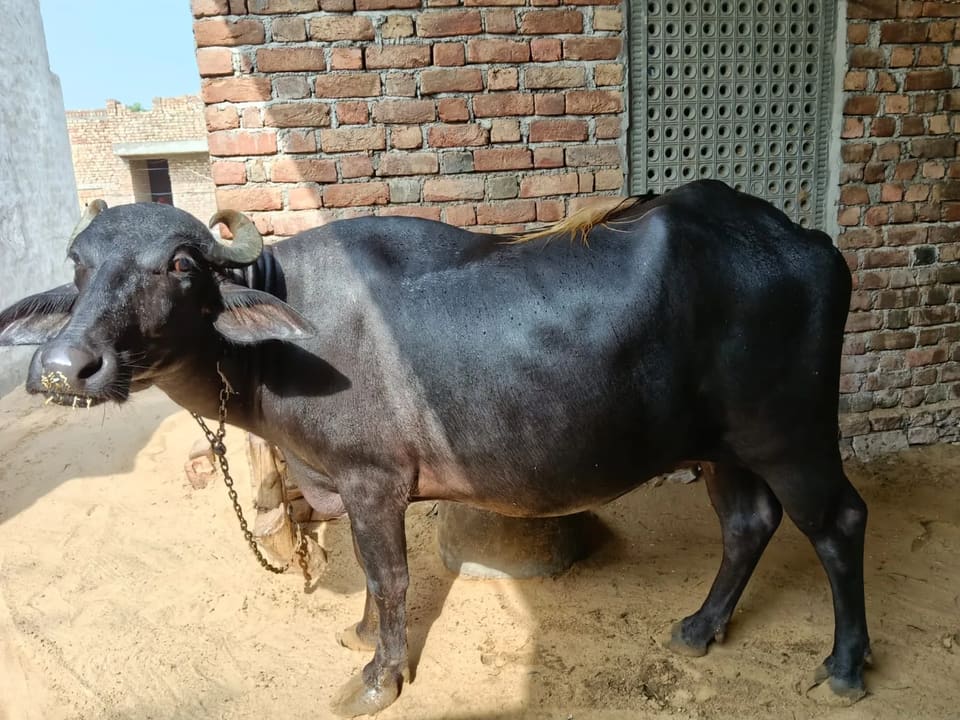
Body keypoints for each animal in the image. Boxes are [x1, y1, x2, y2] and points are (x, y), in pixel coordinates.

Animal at [0, 180, 868, 715]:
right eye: (78, 265)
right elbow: (370, 581)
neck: (280, 342)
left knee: (838, 524)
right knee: (747, 524)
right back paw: (698, 628)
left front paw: (377, 677)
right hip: (726, 446)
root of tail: (805, 239)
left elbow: (389, 580)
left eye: (179, 264)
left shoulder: (372, 482)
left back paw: (847, 665)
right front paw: (359, 636)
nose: (65, 367)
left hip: (792, 436)